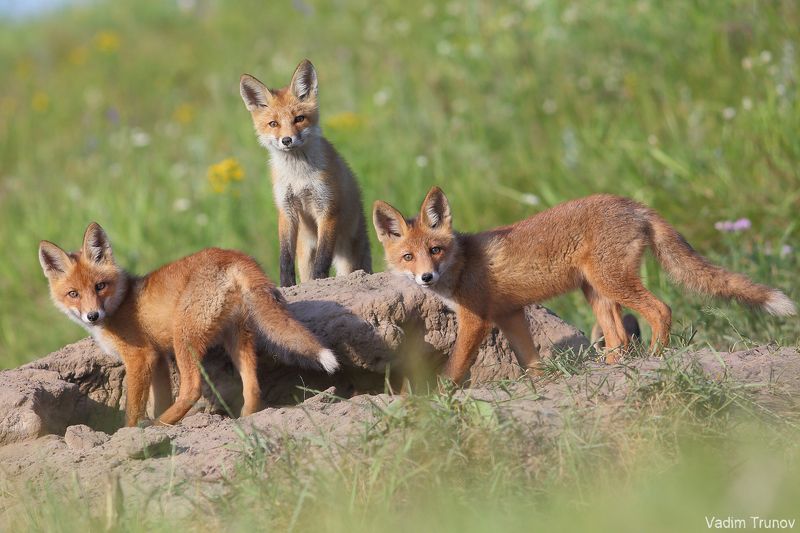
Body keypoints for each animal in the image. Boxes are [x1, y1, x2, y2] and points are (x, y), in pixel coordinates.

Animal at [38, 223, 339, 427]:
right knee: (252, 387)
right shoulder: (158, 358)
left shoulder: (140, 357)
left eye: (100, 286)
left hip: (183, 337)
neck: (121, 302)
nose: (93, 316)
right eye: (73, 294)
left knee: (192, 388)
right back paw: (244, 419)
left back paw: (161, 425)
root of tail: (232, 256)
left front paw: (129, 433)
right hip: (237, 338)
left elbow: (133, 410)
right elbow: (158, 399)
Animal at [239, 59, 372, 287]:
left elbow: (323, 258)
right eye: (273, 124)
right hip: (305, 254)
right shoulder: (286, 209)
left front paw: (320, 281)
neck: (298, 176)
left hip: (350, 260)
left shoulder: (327, 207)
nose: (287, 140)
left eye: (299, 119)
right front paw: (286, 285)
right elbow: (284, 258)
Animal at [373, 187, 796, 384]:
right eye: (408, 257)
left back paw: (656, 356)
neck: (462, 265)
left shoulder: (476, 319)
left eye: (435, 250)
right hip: (596, 291)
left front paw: (440, 394)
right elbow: (530, 359)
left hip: (612, 282)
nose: (426, 277)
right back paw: (609, 367)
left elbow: (456, 366)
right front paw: (540, 383)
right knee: (619, 339)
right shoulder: (510, 313)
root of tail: (633, 204)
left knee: (661, 310)